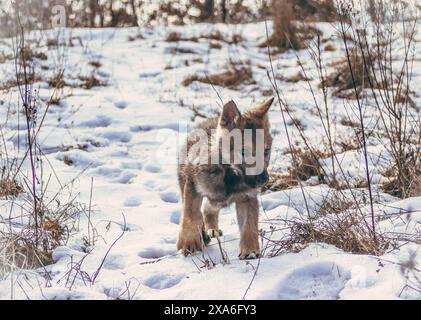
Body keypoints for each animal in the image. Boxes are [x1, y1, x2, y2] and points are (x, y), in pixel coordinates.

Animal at [176, 98, 272, 260]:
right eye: (244, 151)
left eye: (266, 151)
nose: (264, 179)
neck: (229, 174)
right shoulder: (193, 185)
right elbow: (191, 215)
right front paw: (189, 242)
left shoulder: (247, 197)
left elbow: (249, 225)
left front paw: (250, 251)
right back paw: (204, 234)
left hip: (219, 201)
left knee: (208, 208)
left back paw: (211, 229)